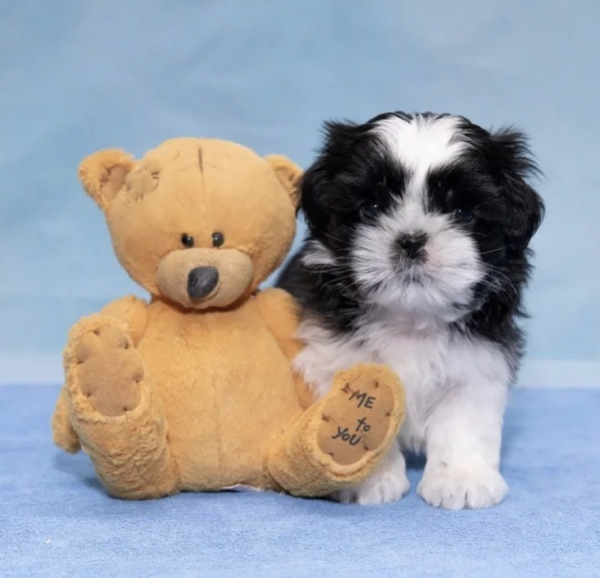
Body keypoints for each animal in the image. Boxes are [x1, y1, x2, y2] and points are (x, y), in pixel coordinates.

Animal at [278, 110, 548, 506]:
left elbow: (464, 423)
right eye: (372, 207)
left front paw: (461, 478)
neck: (410, 316)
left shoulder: (477, 362)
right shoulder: (334, 357)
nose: (411, 241)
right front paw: (368, 478)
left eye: (462, 212)